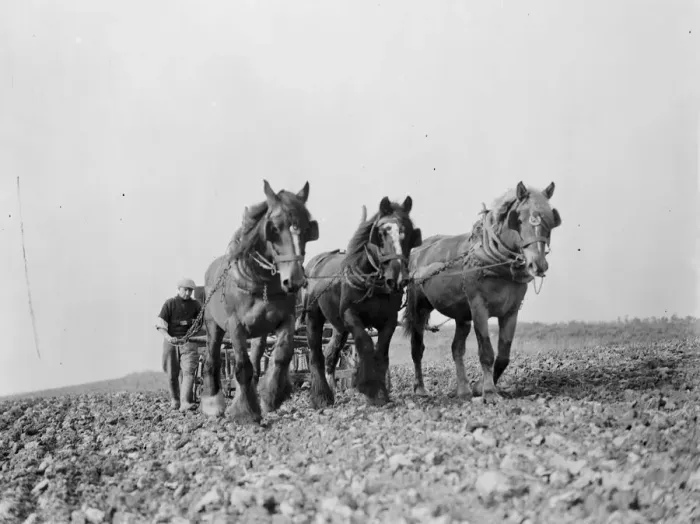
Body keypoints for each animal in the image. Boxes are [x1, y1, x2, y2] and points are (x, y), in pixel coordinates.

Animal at [199, 180, 319, 424]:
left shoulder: (286, 319)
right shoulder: (235, 325)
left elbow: (282, 355)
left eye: (306, 229)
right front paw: (245, 411)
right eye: (274, 228)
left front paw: (270, 397)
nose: (294, 280)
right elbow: (242, 367)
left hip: (259, 333)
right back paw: (213, 403)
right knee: (212, 359)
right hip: (213, 326)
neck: (261, 280)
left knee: (255, 360)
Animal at [301, 196, 422, 407]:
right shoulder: (350, 315)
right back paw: (322, 396)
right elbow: (365, 344)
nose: (398, 277)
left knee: (331, 354)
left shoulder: (389, 320)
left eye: (407, 232)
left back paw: (334, 390)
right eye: (382, 233)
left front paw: (381, 392)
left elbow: (380, 351)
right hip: (313, 316)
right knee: (316, 353)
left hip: (338, 327)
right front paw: (369, 387)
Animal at [402, 181, 562, 402]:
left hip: (462, 316)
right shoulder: (479, 308)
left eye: (549, 220)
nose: (538, 264)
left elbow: (503, 355)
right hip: (419, 307)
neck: (494, 259)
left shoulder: (511, 312)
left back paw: (463, 390)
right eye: (519, 219)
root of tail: (418, 251)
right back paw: (420, 389)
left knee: (457, 349)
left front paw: (479, 387)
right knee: (417, 348)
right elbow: (486, 352)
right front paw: (489, 391)